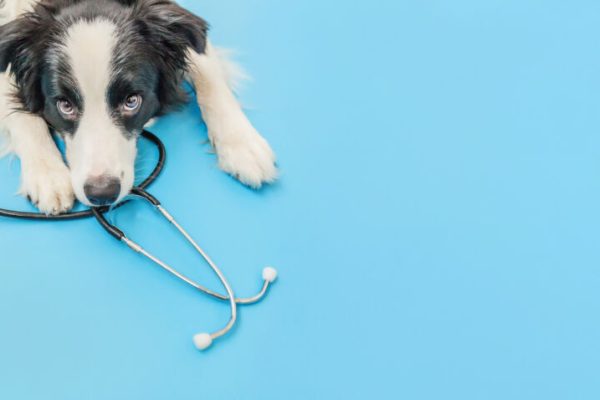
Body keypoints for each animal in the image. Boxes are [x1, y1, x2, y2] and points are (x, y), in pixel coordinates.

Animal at [0, 0, 276, 214]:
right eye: (65, 105)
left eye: (131, 101)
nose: (102, 193)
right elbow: (20, 113)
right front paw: (48, 174)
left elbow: (208, 72)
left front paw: (242, 145)